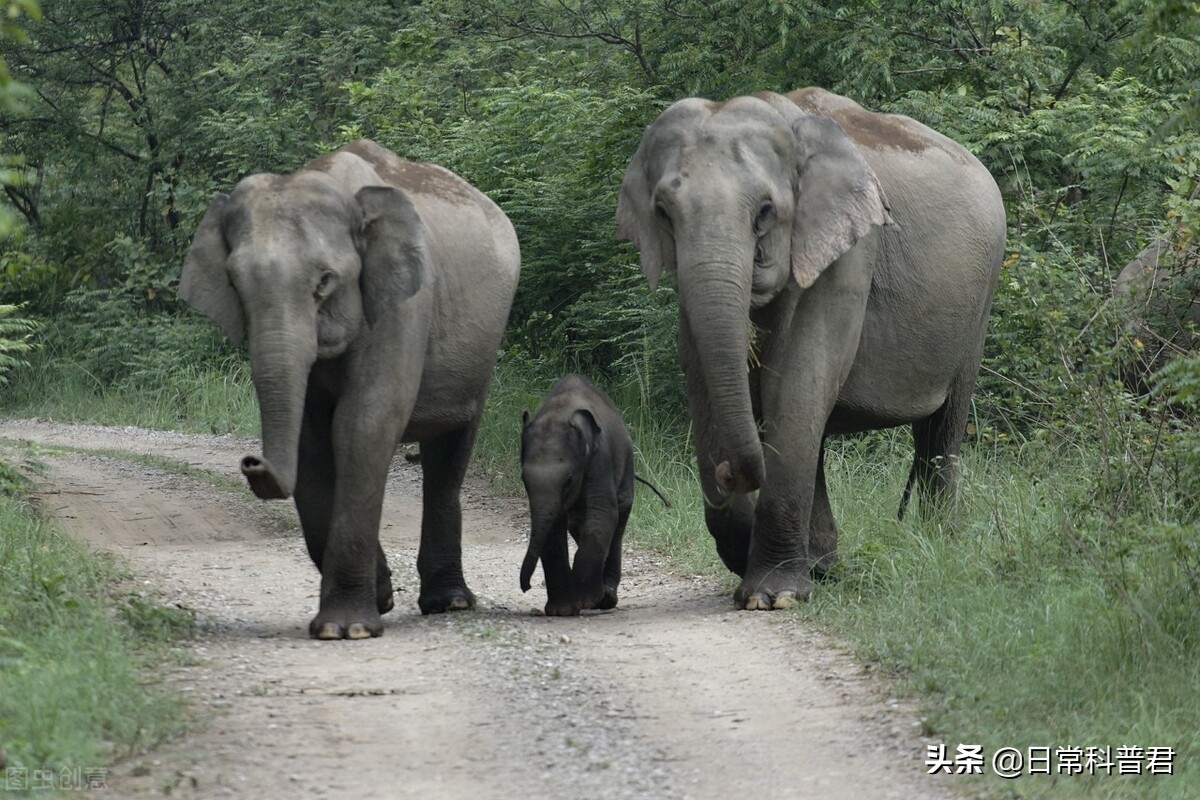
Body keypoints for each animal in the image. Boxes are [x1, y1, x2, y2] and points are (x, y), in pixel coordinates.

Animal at [180, 136, 518, 638]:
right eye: (235, 285)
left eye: (325, 281)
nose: (251, 462)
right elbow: (312, 443)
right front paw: (375, 601)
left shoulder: (404, 303)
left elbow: (362, 425)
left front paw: (349, 629)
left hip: (480, 352)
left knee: (448, 457)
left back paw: (451, 603)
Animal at [518, 376, 672, 618]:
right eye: (523, 478)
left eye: (569, 479)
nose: (526, 587)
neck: (560, 411)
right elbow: (553, 528)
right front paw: (562, 610)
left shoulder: (600, 459)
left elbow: (602, 514)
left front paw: (587, 600)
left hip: (626, 466)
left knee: (618, 518)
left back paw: (606, 598)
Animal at [614, 87, 1008, 609]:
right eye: (662, 212)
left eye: (765, 211)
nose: (728, 474)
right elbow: (700, 376)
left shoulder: (849, 252)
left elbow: (800, 380)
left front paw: (771, 596)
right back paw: (824, 567)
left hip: (979, 302)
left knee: (942, 427)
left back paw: (934, 541)